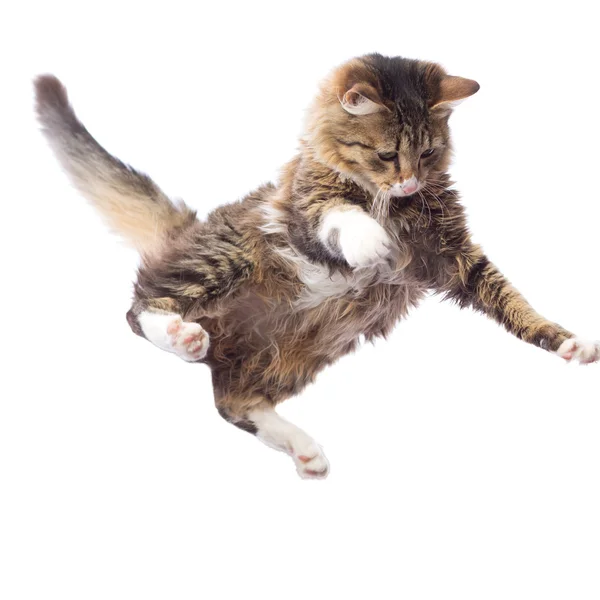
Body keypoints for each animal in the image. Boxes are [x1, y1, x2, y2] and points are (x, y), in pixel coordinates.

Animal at [34, 54, 600, 480]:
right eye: (387, 155)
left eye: (429, 153)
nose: (411, 183)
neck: (392, 203)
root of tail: (191, 229)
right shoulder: (302, 209)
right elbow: (340, 214)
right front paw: (372, 239)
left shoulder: (458, 256)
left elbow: (513, 301)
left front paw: (567, 342)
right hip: (229, 258)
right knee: (139, 310)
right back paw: (182, 335)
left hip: (293, 353)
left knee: (232, 401)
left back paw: (303, 448)